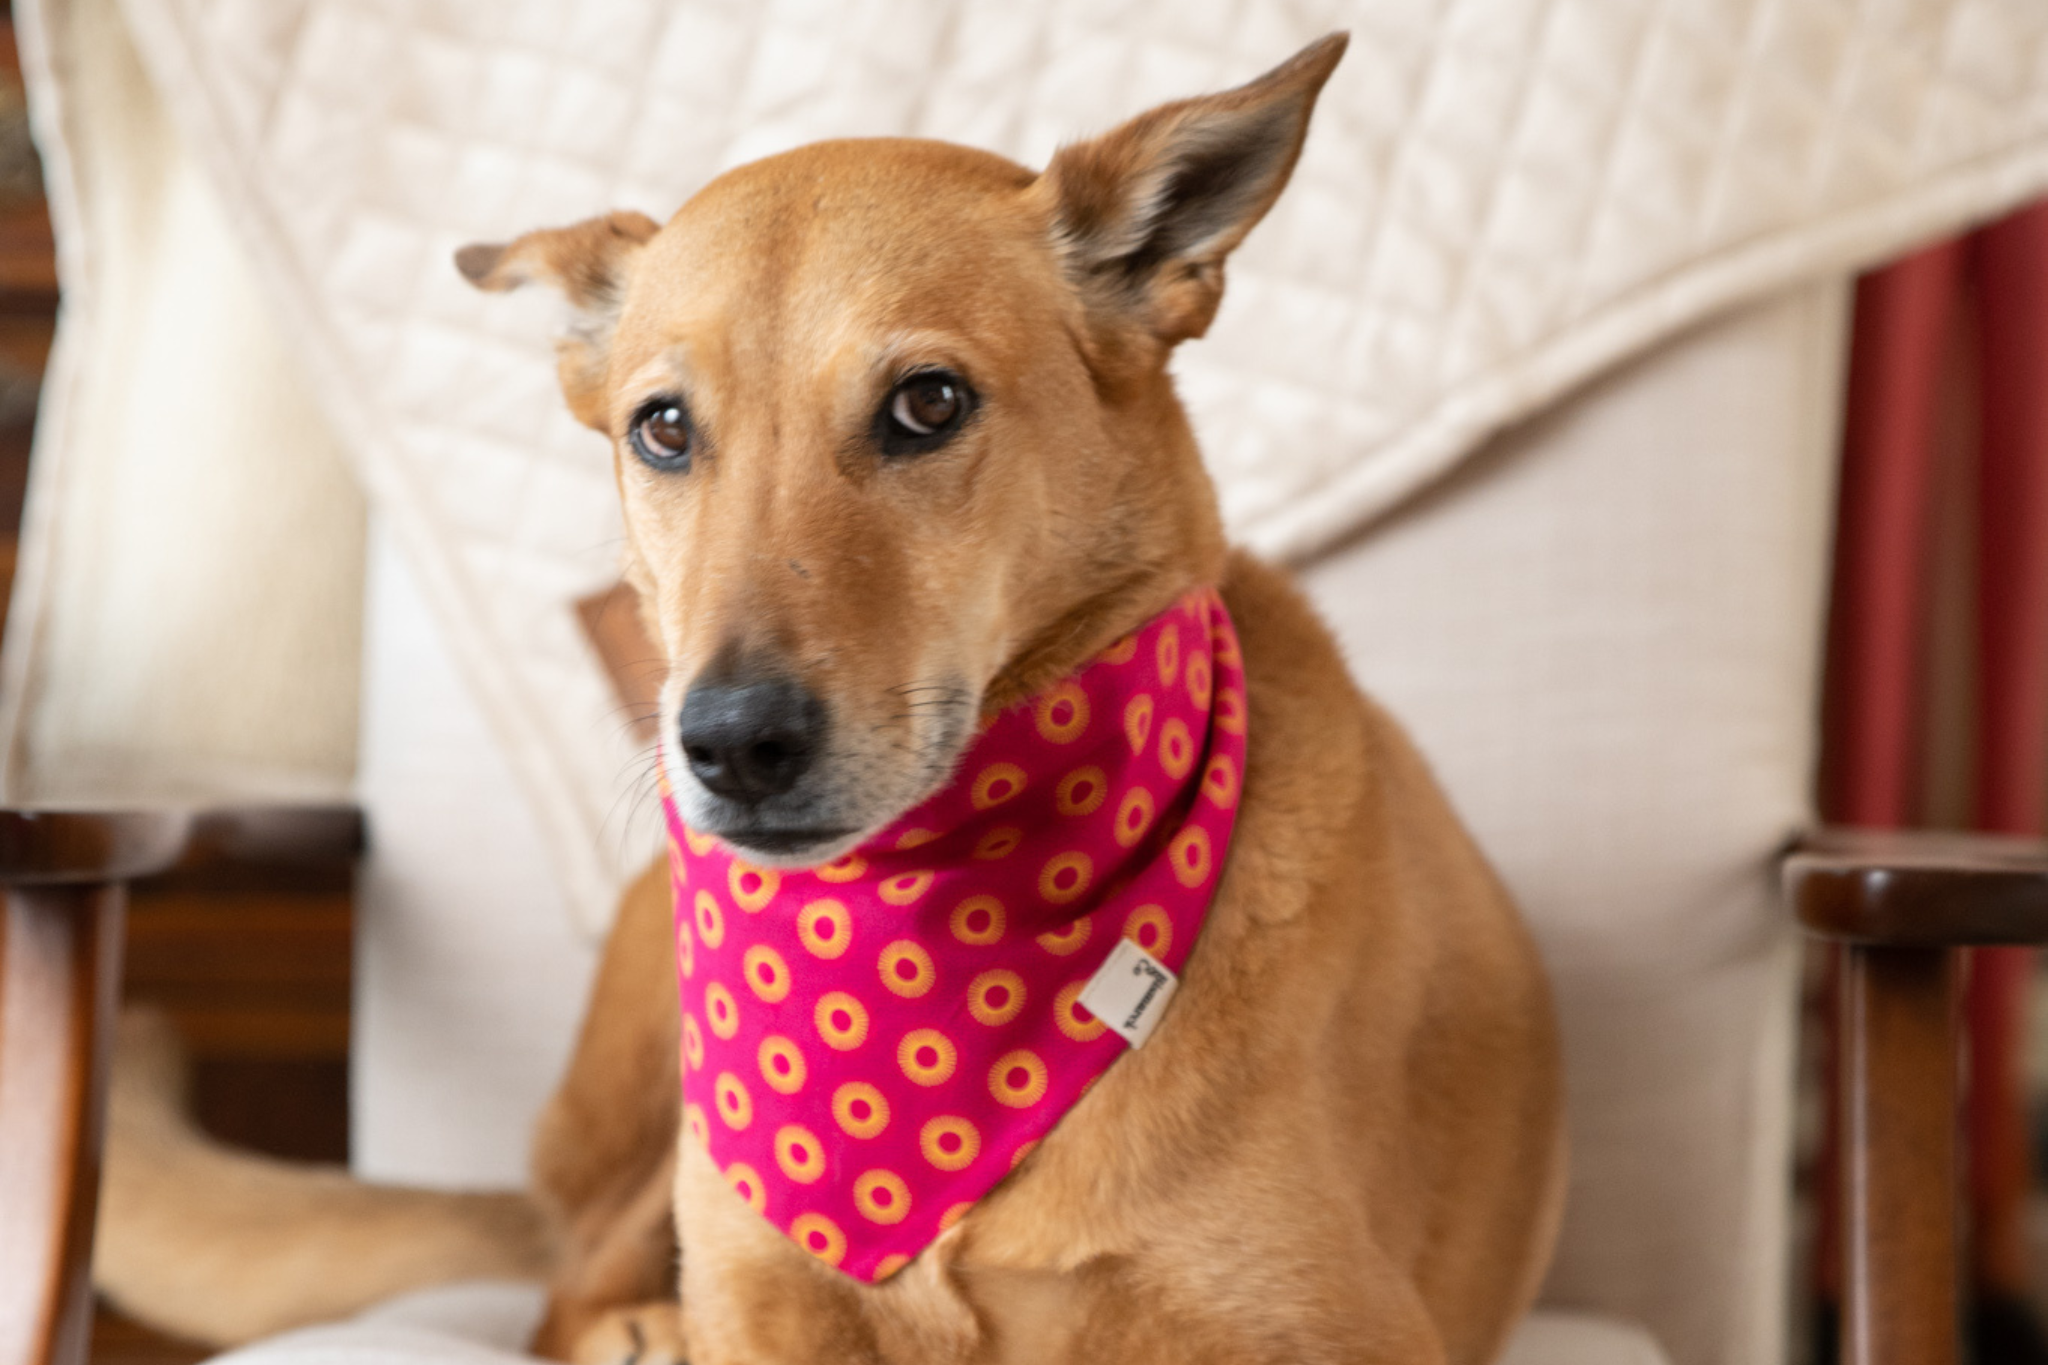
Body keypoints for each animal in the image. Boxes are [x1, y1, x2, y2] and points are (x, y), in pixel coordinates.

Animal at [92, 37, 1564, 1358]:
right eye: (663, 428)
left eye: (927, 403)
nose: (732, 743)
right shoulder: (762, 1291)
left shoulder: (1326, 1324)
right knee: (559, 1295)